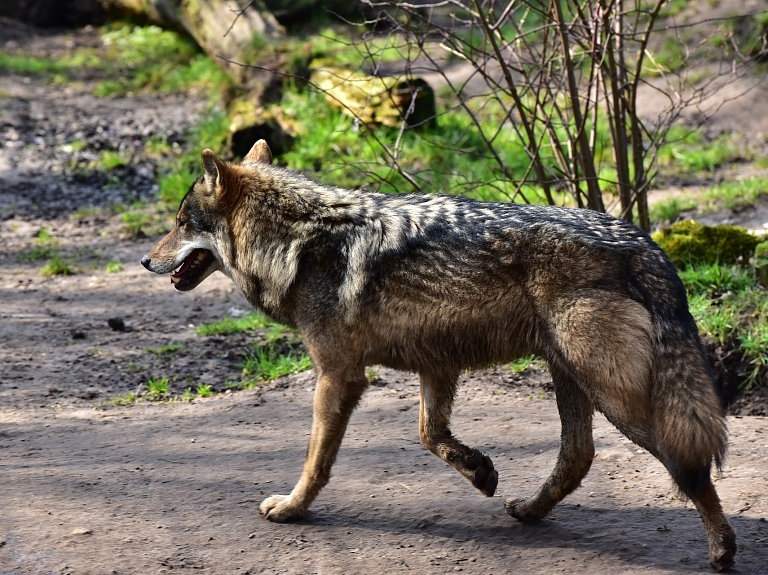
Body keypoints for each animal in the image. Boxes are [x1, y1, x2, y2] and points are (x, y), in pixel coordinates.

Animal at [142, 141, 736, 572]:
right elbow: (431, 435)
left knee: (686, 465)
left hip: (615, 396)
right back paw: (528, 511)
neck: (299, 241)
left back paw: (722, 549)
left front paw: (292, 508)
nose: (145, 260)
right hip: (570, 375)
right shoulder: (436, 363)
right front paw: (480, 471)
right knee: (578, 456)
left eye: (181, 222)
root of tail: (644, 242)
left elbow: (317, 459)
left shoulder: (339, 375)